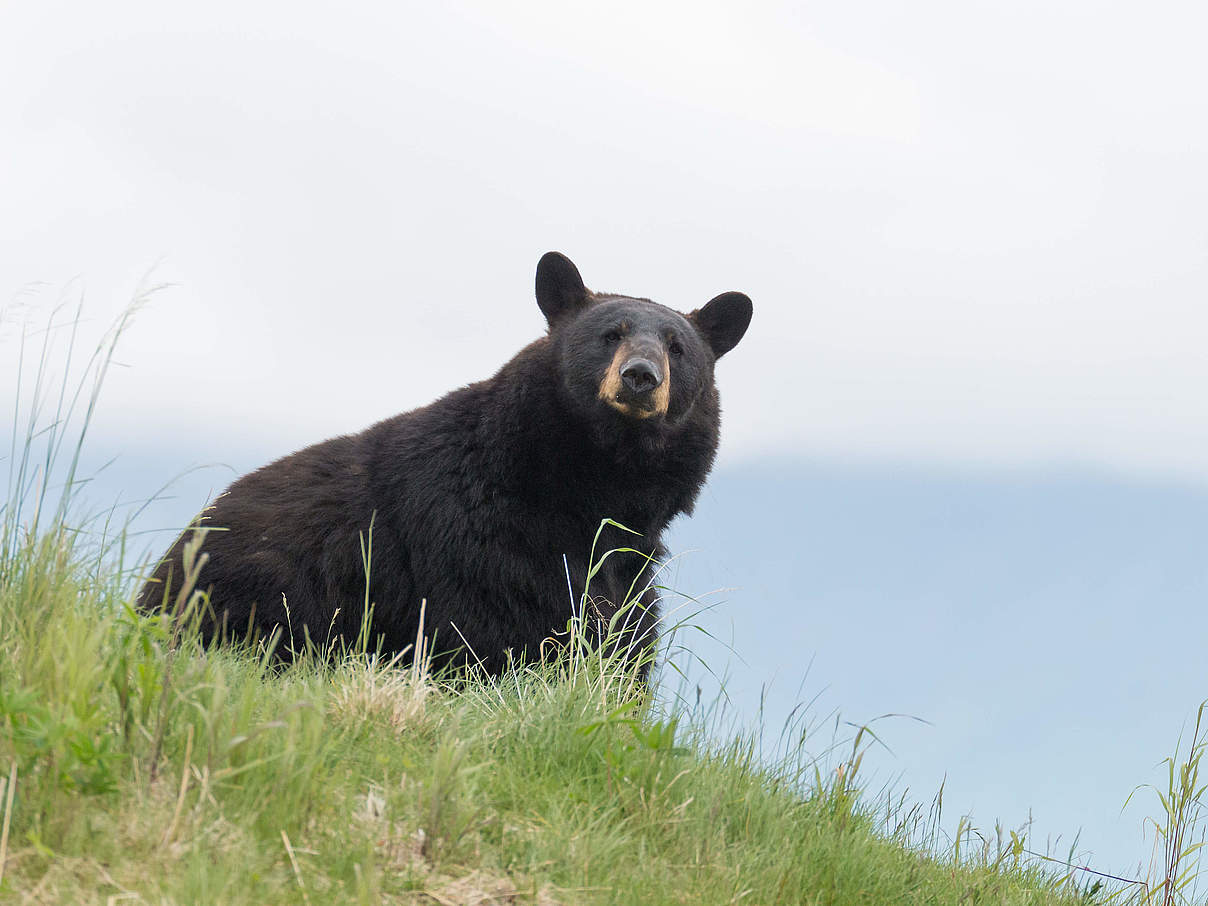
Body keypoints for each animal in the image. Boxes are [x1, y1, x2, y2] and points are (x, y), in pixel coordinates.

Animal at [137, 252, 748, 676]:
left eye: (677, 348)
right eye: (609, 335)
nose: (640, 375)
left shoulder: (631, 565)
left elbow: (624, 642)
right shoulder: (477, 536)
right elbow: (498, 629)